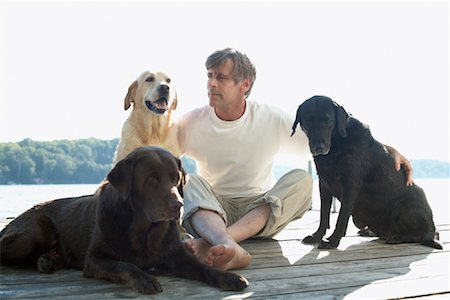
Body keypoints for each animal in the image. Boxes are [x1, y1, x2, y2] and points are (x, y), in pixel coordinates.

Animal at [0, 146, 248, 294]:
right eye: (151, 179)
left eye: (175, 178)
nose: (178, 205)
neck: (143, 230)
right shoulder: (96, 259)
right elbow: (124, 264)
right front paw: (144, 278)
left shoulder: (178, 256)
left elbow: (202, 267)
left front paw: (229, 277)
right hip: (36, 233)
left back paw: (46, 261)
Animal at [290, 95, 442, 248]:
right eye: (308, 122)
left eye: (327, 121)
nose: (318, 147)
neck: (337, 144)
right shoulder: (324, 184)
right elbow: (324, 214)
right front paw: (317, 236)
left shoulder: (350, 184)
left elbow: (342, 216)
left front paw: (333, 240)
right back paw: (371, 232)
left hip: (406, 207)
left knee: (423, 235)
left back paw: (396, 237)